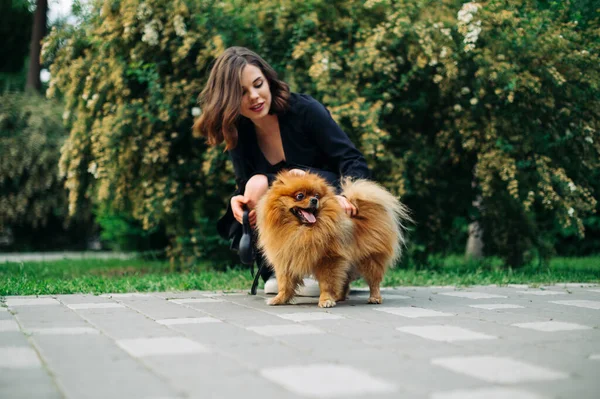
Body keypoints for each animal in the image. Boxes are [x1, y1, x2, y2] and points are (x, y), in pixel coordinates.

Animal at [255, 170, 410, 308]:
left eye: (316, 195)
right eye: (300, 196)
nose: (314, 200)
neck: (301, 230)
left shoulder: (329, 259)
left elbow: (326, 283)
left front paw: (325, 300)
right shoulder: (286, 258)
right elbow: (285, 283)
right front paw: (279, 299)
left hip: (370, 258)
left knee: (374, 281)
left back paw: (374, 297)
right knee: (343, 280)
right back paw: (339, 297)